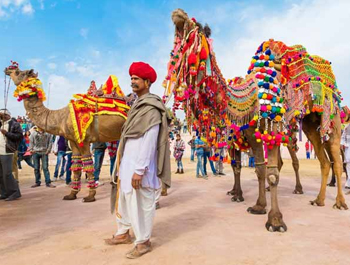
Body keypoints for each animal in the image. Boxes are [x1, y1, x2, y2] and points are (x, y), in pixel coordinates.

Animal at [4, 64, 129, 202]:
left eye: (18, 72)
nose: (7, 69)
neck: (60, 117)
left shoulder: (84, 141)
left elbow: (88, 165)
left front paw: (90, 196)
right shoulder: (73, 141)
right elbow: (76, 166)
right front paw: (72, 194)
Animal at [165, 8, 348, 231]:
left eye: (196, 27)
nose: (177, 14)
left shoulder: (272, 127)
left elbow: (271, 173)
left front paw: (275, 221)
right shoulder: (251, 134)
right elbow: (258, 169)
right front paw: (258, 205)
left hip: (329, 117)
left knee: (332, 159)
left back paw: (336, 202)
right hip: (310, 124)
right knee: (324, 161)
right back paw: (319, 200)